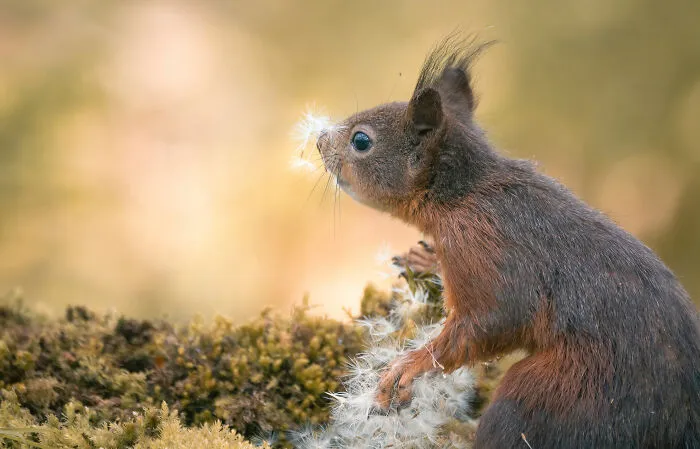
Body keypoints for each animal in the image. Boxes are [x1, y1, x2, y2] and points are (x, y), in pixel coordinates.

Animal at [315, 35, 700, 449]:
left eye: (361, 140)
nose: (318, 140)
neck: (464, 194)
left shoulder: (486, 246)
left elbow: (497, 317)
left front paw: (407, 367)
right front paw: (426, 260)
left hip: (548, 398)